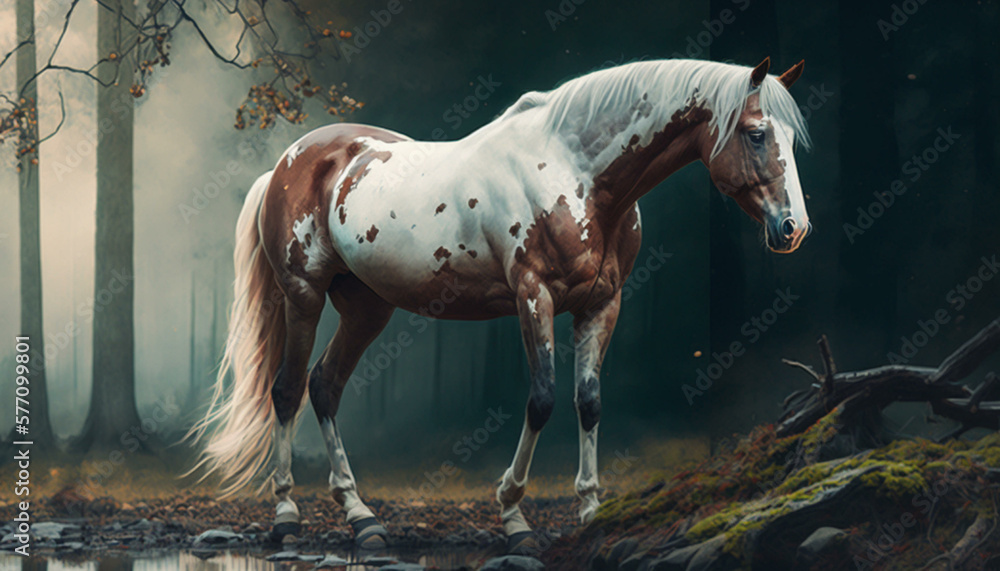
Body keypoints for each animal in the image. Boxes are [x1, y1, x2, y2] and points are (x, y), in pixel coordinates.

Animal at [190, 56, 812, 551]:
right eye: (757, 133)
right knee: (288, 389)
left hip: (368, 307)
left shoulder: (602, 305)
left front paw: (591, 511)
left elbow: (589, 403)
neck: (576, 173)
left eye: (791, 137)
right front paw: (514, 515)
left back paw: (362, 518)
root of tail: (292, 160)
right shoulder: (533, 296)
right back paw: (286, 516)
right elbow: (542, 400)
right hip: (304, 294)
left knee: (324, 386)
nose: (794, 228)